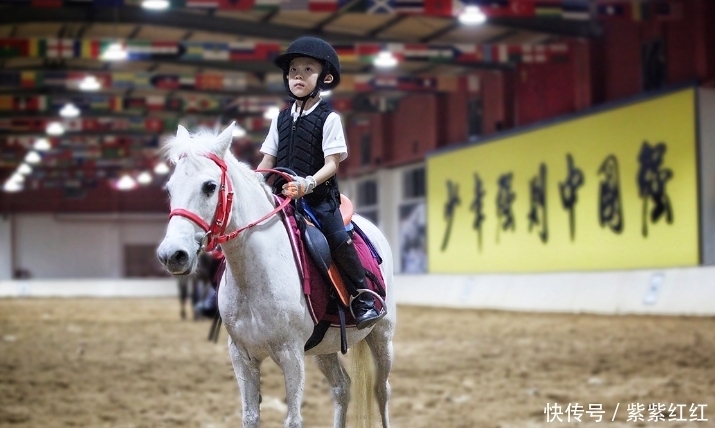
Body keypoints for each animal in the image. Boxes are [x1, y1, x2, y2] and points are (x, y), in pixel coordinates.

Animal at [156, 123, 398, 428]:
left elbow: (293, 419)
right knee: (342, 387)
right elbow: (250, 416)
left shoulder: (291, 355)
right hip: (325, 348)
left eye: (210, 186)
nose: (172, 255)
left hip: (382, 334)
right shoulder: (242, 357)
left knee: (382, 389)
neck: (253, 277)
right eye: (170, 188)